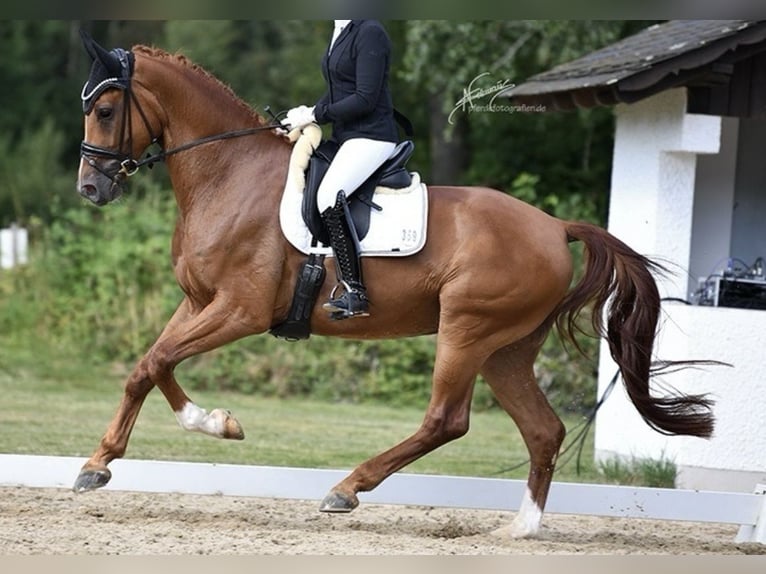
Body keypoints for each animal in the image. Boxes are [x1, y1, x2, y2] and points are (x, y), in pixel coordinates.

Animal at [72, 33, 712, 540]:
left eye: (104, 109)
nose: (90, 190)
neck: (228, 173)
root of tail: (554, 227)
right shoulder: (199, 303)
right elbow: (148, 367)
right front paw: (104, 462)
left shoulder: (239, 310)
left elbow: (157, 361)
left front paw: (207, 425)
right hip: (505, 349)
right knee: (542, 430)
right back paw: (521, 529)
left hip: (467, 329)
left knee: (446, 420)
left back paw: (348, 488)